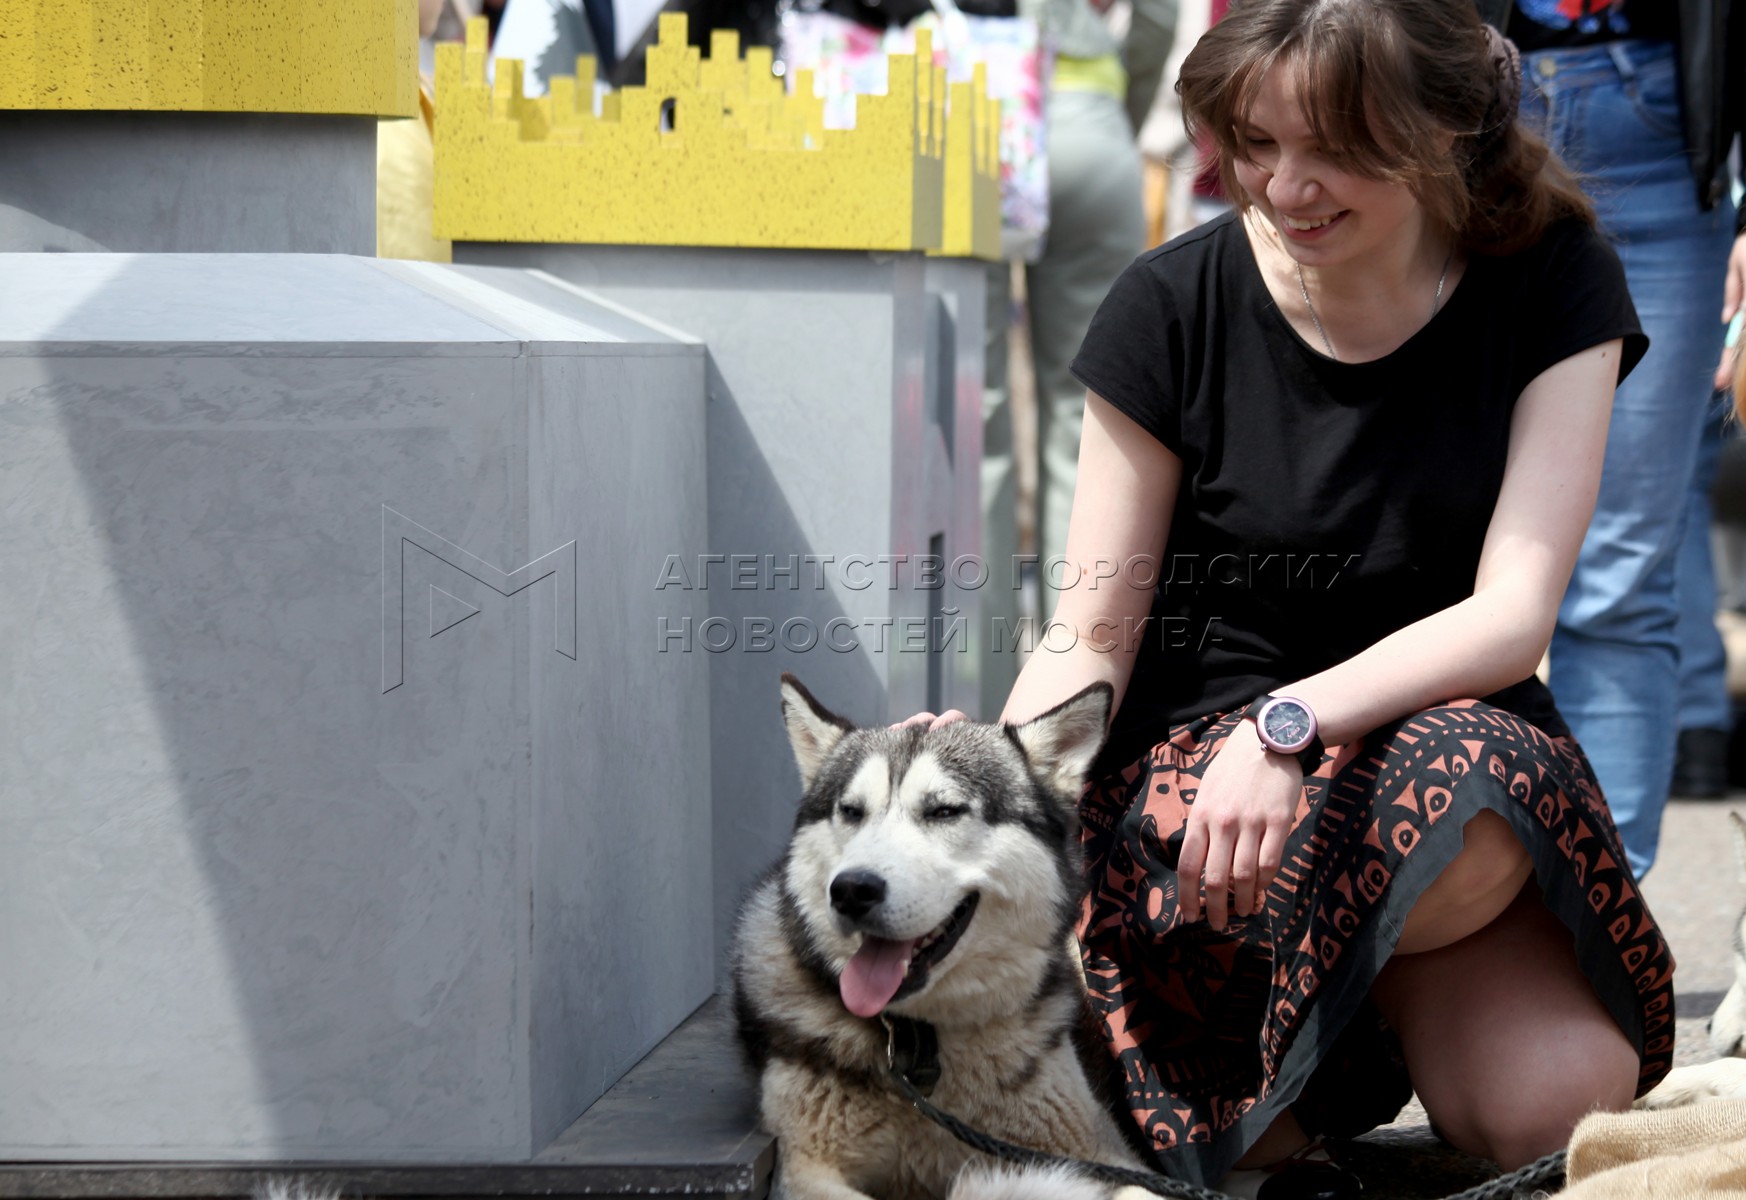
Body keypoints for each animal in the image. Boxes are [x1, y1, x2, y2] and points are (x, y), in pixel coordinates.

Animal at [736, 677, 1159, 1200]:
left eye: (943, 811)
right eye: (851, 812)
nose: (852, 890)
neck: (925, 1043)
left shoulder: (1105, 1154)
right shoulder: (805, 1167)